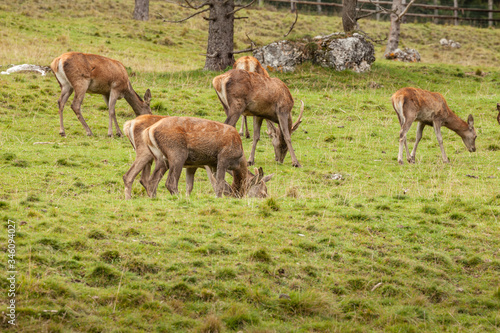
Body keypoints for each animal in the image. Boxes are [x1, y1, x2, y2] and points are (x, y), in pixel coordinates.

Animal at [124, 115, 274, 197]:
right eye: (262, 192)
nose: (238, 196)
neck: (238, 160)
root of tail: (149, 130)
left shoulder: (201, 165)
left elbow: (191, 186)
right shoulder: (222, 159)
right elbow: (220, 184)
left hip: (160, 159)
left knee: (150, 180)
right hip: (176, 154)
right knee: (169, 182)